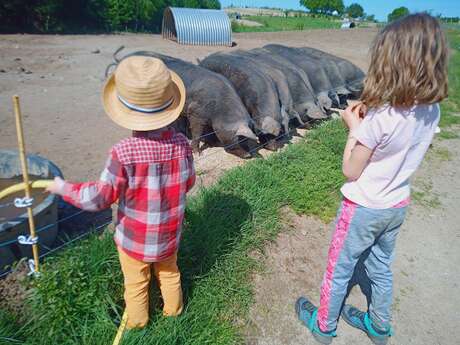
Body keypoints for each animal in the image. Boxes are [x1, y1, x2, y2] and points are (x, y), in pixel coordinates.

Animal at [115, 49, 258, 159]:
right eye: (240, 139)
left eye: (247, 140)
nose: (249, 155)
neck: (220, 111)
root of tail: (123, 58)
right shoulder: (195, 112)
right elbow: (197, 132)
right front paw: (198, 153)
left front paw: (212, 143)